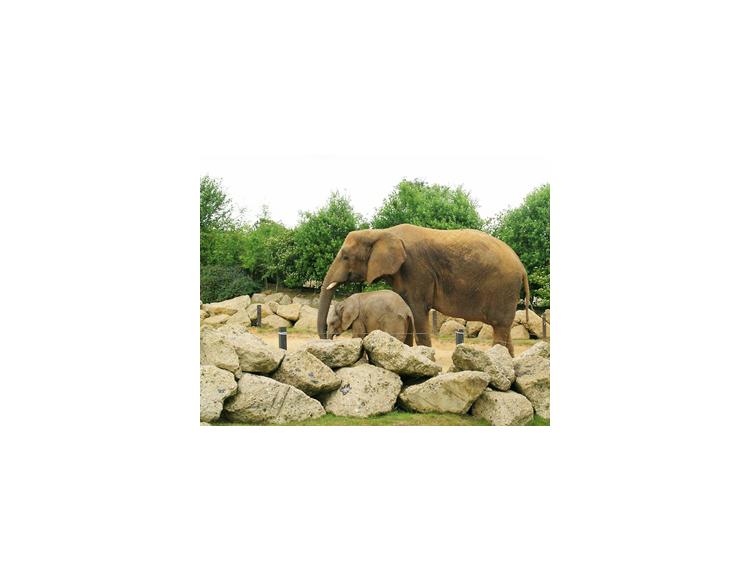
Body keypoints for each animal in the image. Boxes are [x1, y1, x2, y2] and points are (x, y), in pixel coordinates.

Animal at [317, 224, 530, 355]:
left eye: (345, 256)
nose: (329, 338)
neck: (381, 232)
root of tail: (522, 268)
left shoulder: (415, 270)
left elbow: (418, 311)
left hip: (504, 289)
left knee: (500, 329)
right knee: (504, 330)